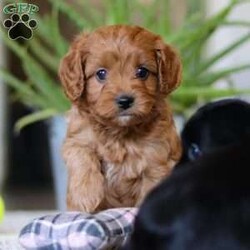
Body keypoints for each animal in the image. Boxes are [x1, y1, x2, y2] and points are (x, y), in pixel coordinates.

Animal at [59, 24, 183, 213]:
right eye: (101, 73)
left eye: (142, 72)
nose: (125, 101)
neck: (119, 132)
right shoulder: (77, 138)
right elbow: (82, 158)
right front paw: (85, 196)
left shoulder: (157, 160)